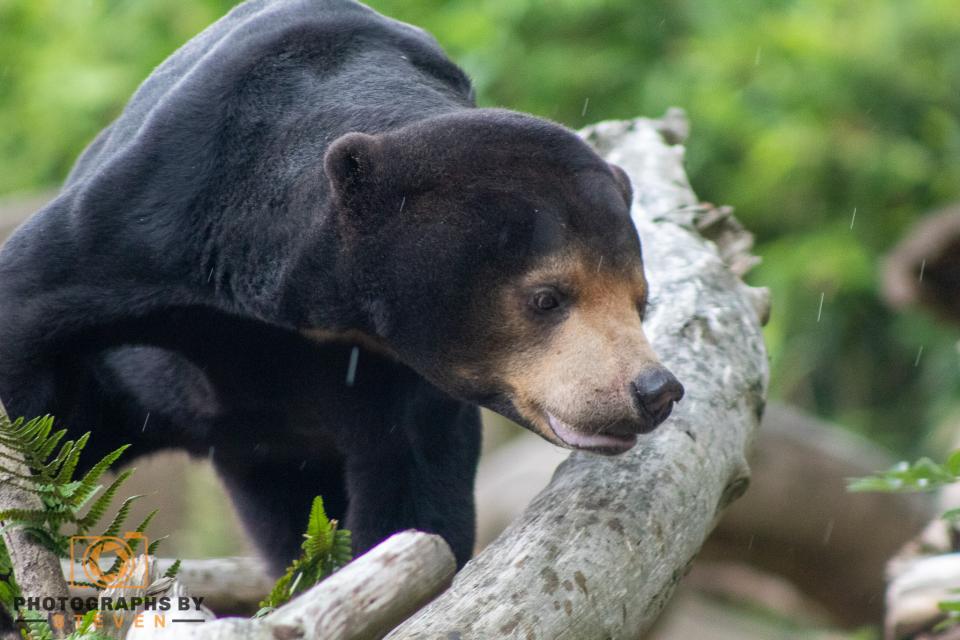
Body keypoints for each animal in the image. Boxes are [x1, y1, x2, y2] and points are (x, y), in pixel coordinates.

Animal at [0, 0, 684, 573]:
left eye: (639, 300)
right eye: (548, 297)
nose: (655, 390)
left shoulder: (396, 376)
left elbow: (413, 488)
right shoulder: (153, 217)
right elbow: (29, 305)